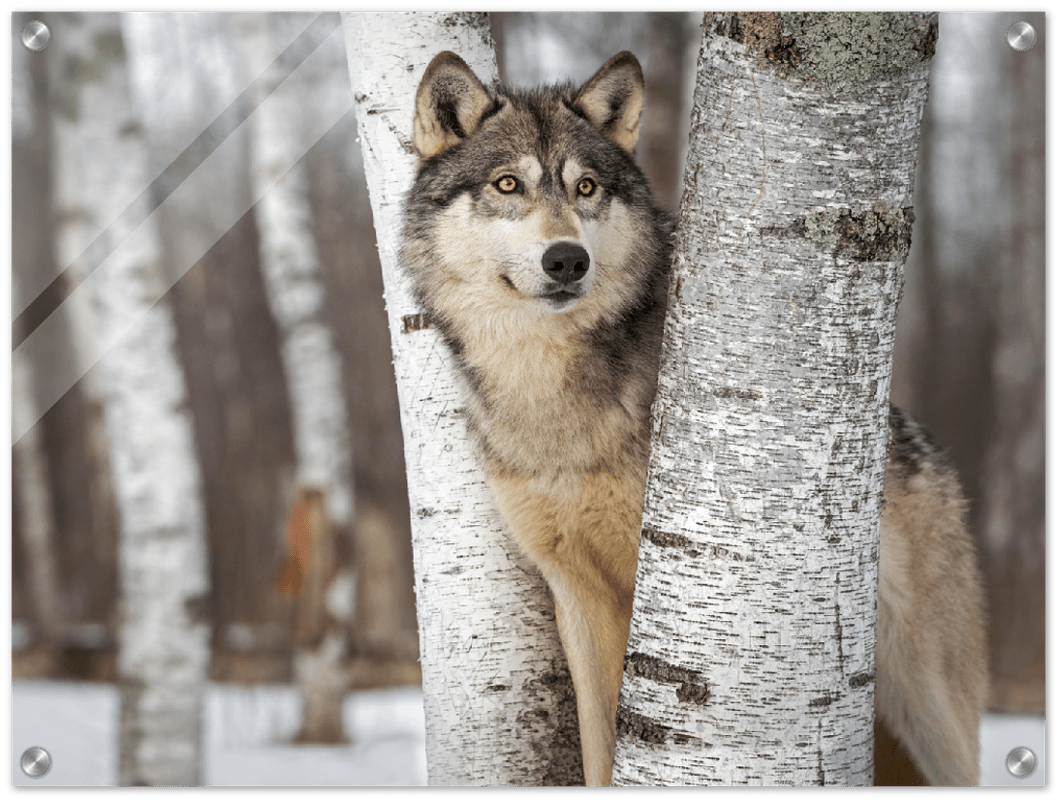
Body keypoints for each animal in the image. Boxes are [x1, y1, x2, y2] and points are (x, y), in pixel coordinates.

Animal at [400, 50, 987, 787]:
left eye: (586, 187)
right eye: (508, 183)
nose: (567, 259)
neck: (551, 396)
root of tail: (925, 447)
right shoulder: (577, 595)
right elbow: (598, 747)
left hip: (928, 710)